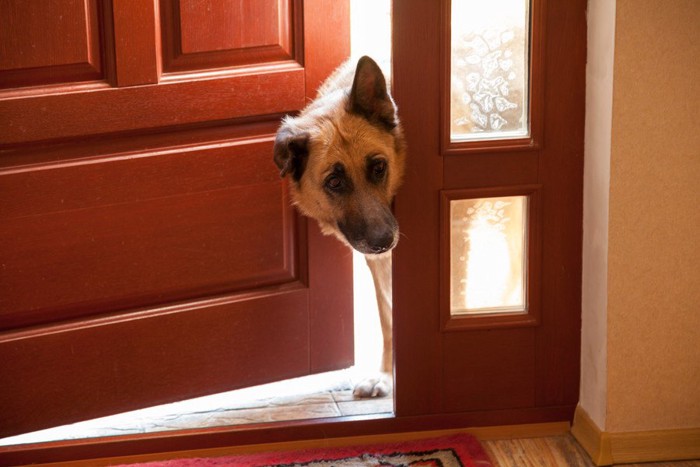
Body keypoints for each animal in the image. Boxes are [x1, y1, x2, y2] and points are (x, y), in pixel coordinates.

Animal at [274, 55, 404, 398]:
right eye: (334, 182)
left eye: (379, 167)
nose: (384, 241)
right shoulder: (380, 265)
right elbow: (389, 315)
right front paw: (387, 375)